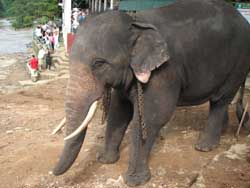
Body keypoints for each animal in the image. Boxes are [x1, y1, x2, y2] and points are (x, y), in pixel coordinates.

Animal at [51, 0, 250, 185]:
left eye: (99, 64)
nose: (51, 172)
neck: (135, 21)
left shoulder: (164, 71)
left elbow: (151, 116)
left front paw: (134, 181)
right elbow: (118, 111)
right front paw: (105, 161)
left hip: (239, 62)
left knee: (220, 100)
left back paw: (204, 147)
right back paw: (220, 133)